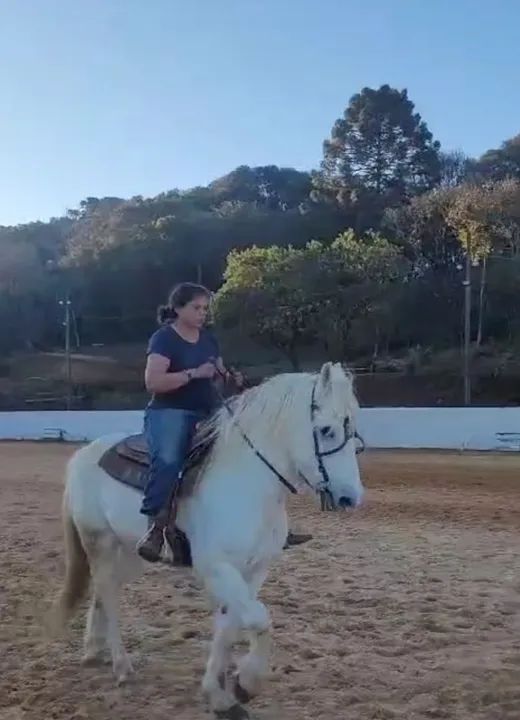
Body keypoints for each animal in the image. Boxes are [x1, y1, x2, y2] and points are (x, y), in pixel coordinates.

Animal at [46, 361, 365, 719]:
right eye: (326, 430)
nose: (351, 497)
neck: (247, 484)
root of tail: (82, 454)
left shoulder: (254, 571)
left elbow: (229, 625)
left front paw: (220, 694)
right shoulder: (217, 568)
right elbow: (259, 619)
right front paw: (246, 683)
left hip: (132, 553)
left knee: (106, 590)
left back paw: (93, 650)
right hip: (98, 542)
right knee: (108, 593)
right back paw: (121, 665)